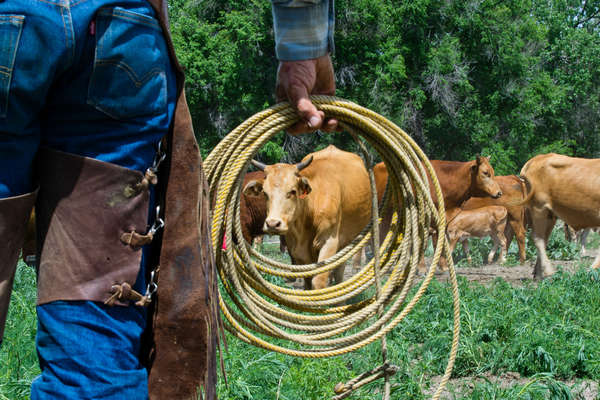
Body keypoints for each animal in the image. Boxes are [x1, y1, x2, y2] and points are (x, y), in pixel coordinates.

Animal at [244, 145, 370, 290]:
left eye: (292, 191)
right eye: (265, 193)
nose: (272, 224)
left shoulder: (329, 242)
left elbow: (318, 281)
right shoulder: (296, 248)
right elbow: (308, 281)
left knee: (339, 270)